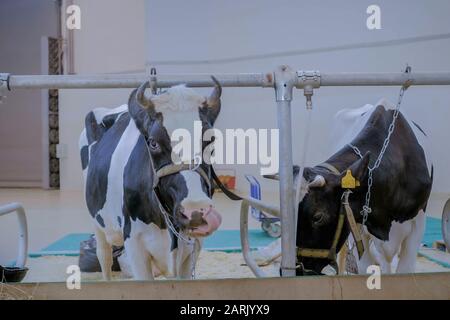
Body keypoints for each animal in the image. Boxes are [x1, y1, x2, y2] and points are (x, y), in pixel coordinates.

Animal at [80, 79, 223, 280]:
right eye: (153, 143)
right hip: (98, 224)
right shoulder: (134, 244)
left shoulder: (193, 248)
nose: (195, 211)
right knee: (104, 256)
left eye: (211, 140)